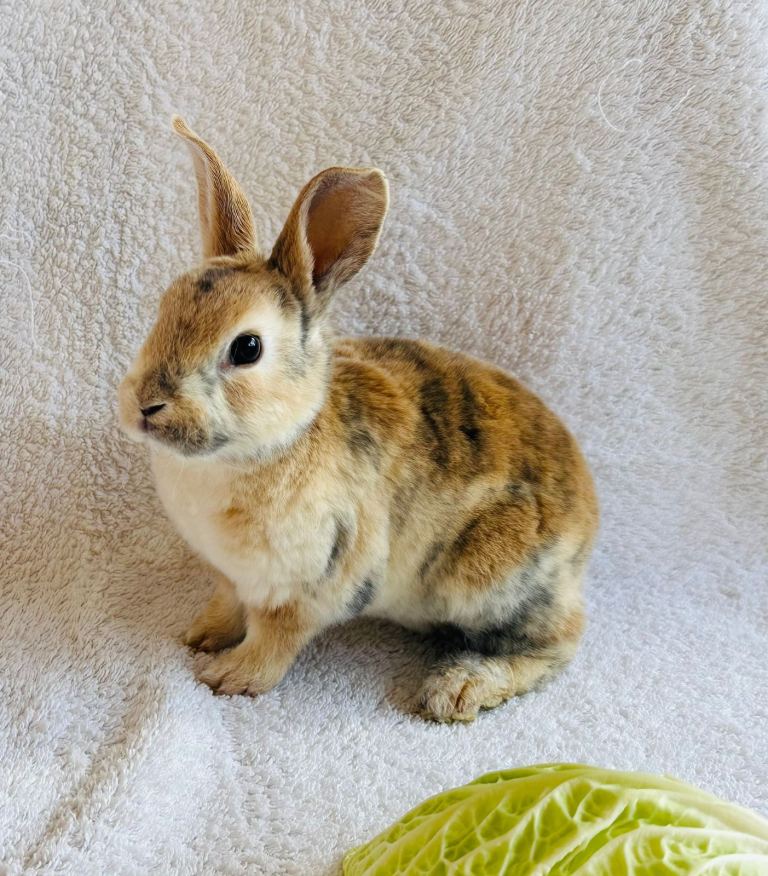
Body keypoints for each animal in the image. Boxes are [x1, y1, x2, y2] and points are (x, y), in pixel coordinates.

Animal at [117, 116, 599, 723]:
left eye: (247, 348)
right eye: (163, 308)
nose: (145, 405)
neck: (276, 439)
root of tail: (589, 525)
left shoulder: (310, 582)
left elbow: (276, 637)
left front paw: (228, 676)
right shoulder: (232, 576)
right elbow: (228, 604)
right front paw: (201, 636)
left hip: (491, 579)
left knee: (560, 641)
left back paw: (458, 686)